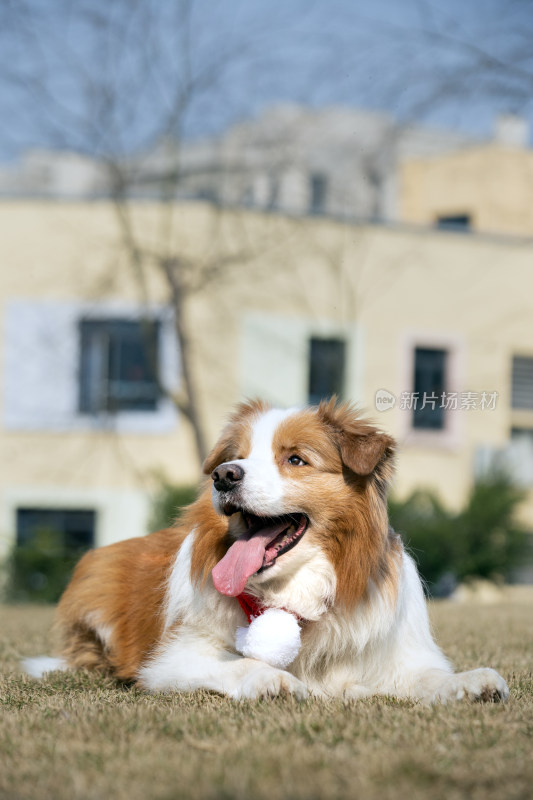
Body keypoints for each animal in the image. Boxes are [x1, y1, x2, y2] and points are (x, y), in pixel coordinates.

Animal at [25, 398, 508, 700]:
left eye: (295, 459)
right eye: (233, 457)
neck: (293, 591)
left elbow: (429, 676)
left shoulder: (399, 655)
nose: (223, 475)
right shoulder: (171, 658)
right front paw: (275, 680)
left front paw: (471, 682)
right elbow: (238, 664)